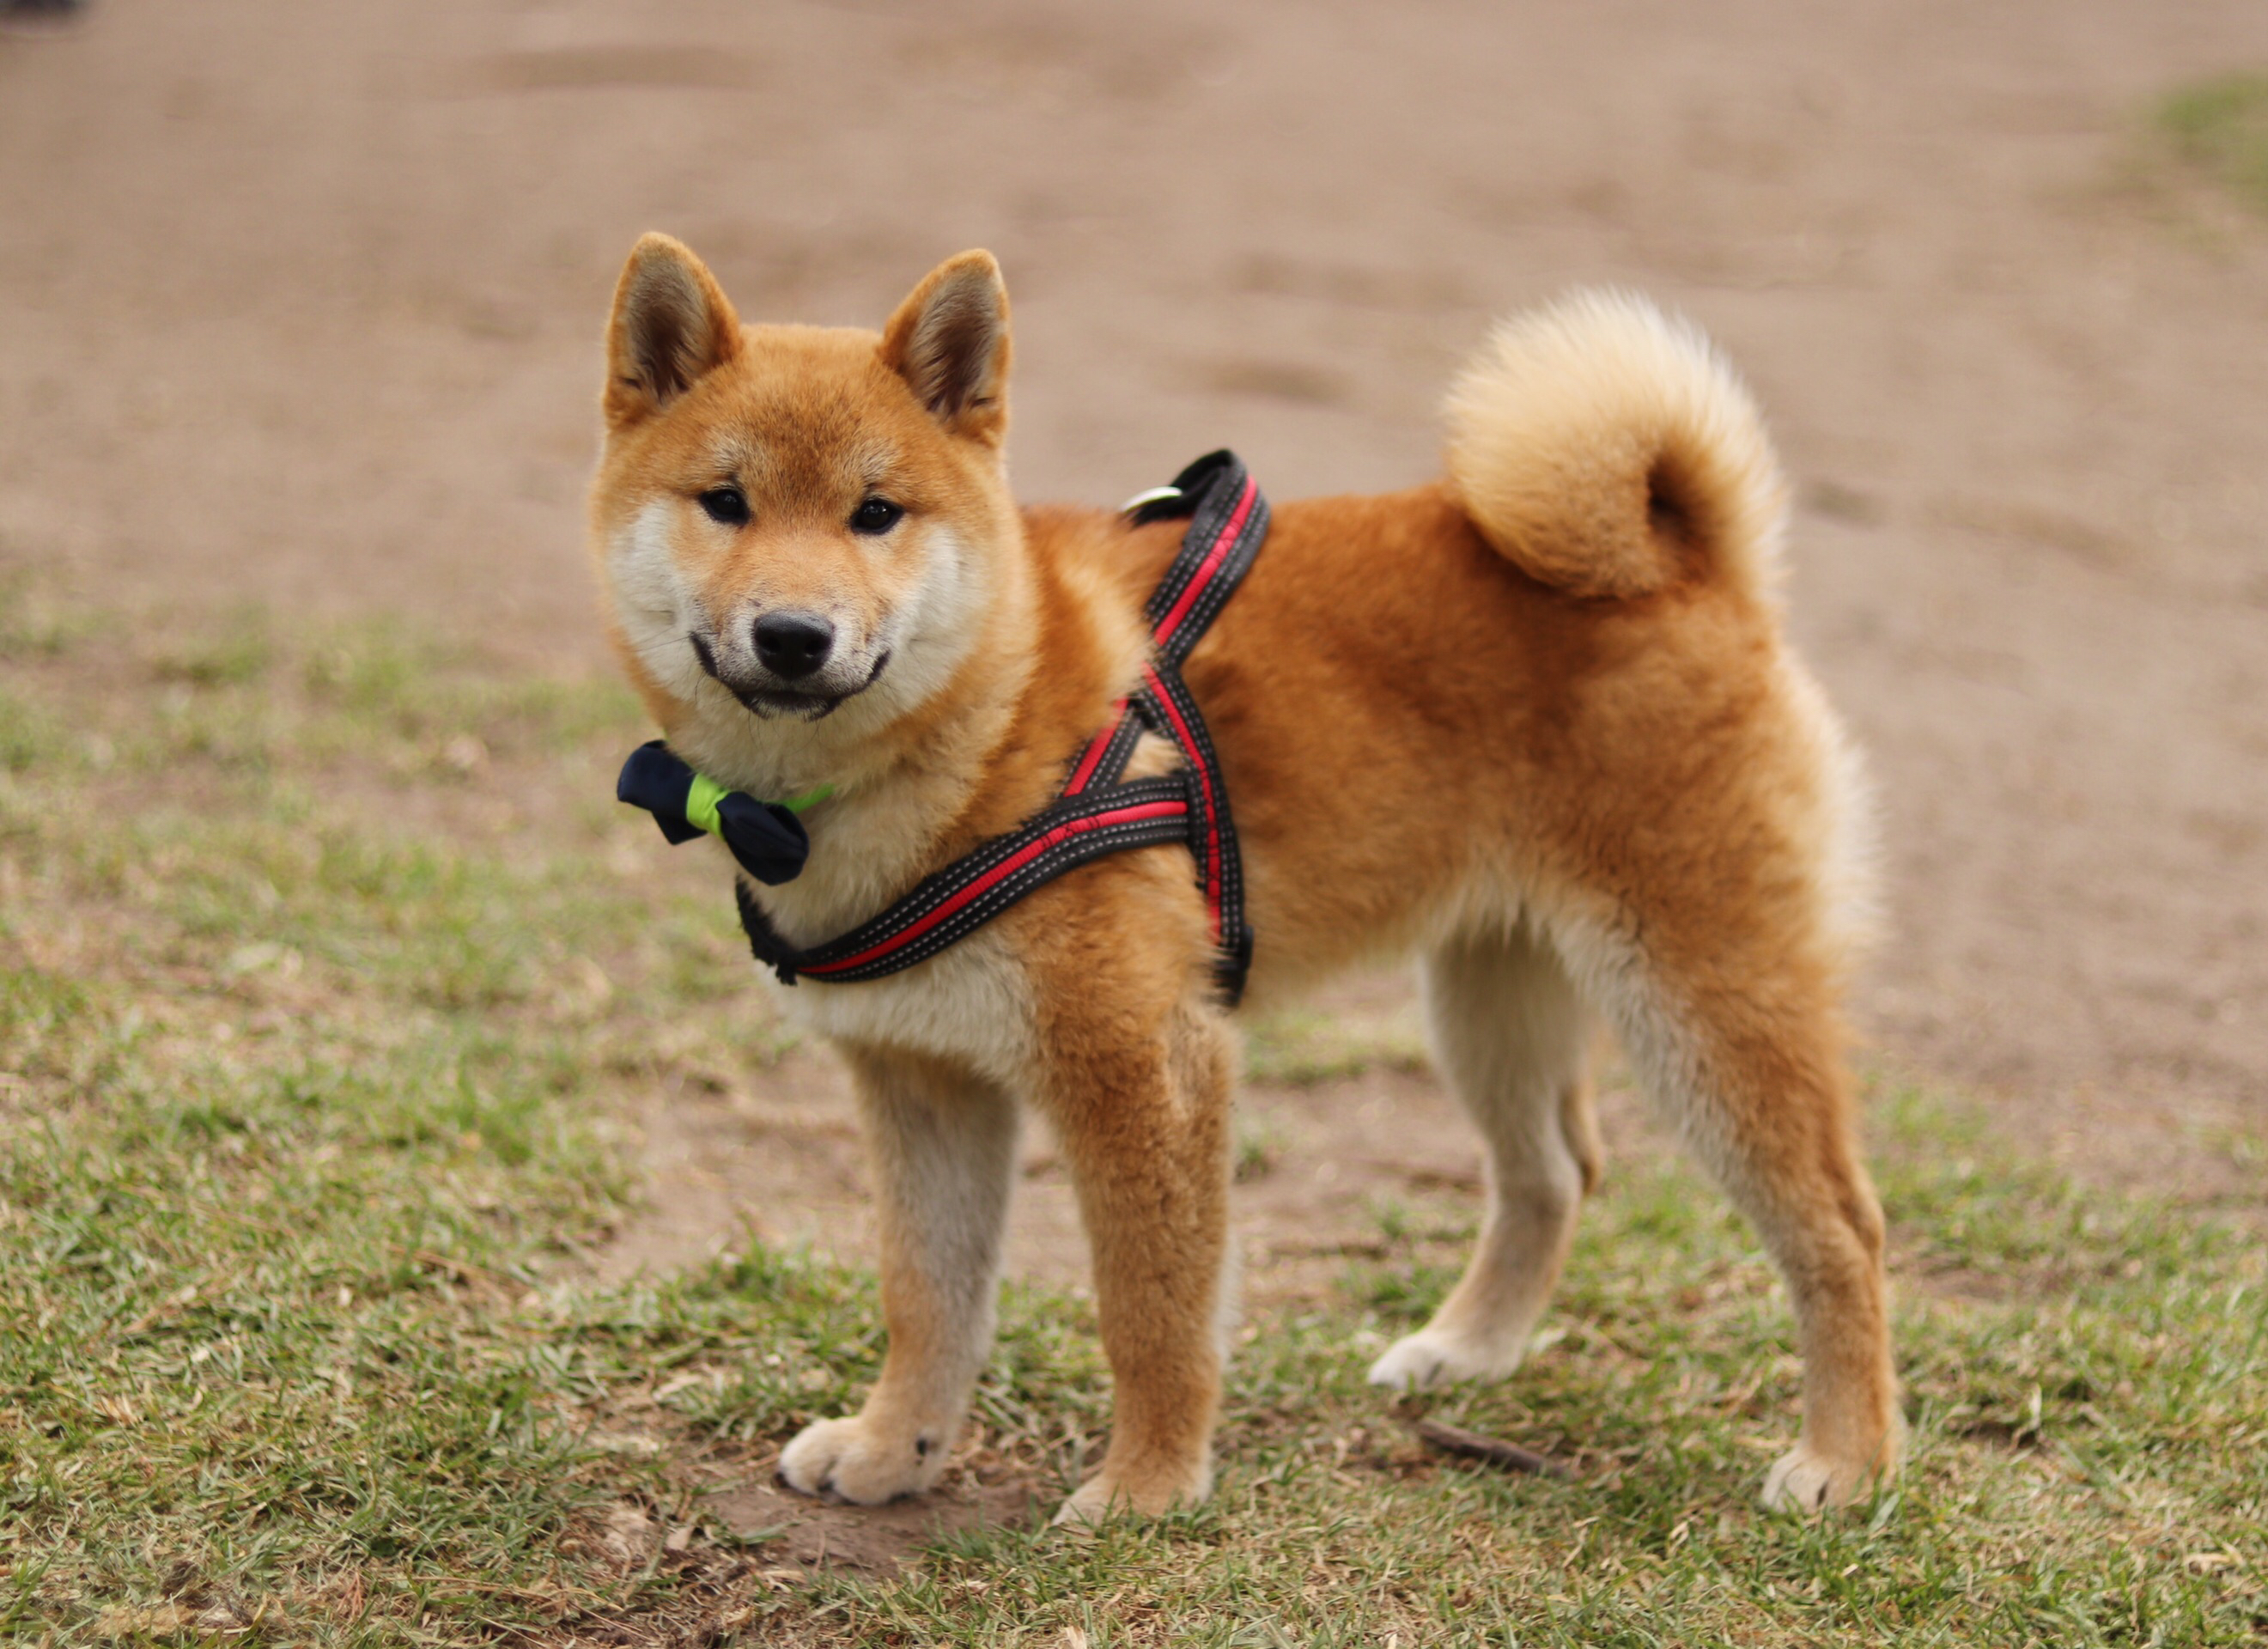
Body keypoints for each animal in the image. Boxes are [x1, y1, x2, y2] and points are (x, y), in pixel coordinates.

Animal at [585, 232, 1895, 1524]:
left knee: (1841, 1225)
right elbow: (927, 1296)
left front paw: (1150, 1487)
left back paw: (1848, 1462)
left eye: (876, 513)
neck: (978, 726)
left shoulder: (1146, 1062)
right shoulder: (921, 1078)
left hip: (1700, 997)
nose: (793, 636)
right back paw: (1466, 1352)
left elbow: (1151, 1308)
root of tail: (1679, 559)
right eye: (726, 503)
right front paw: (893, 1446)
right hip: (1489, 996)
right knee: (1555, 1173)